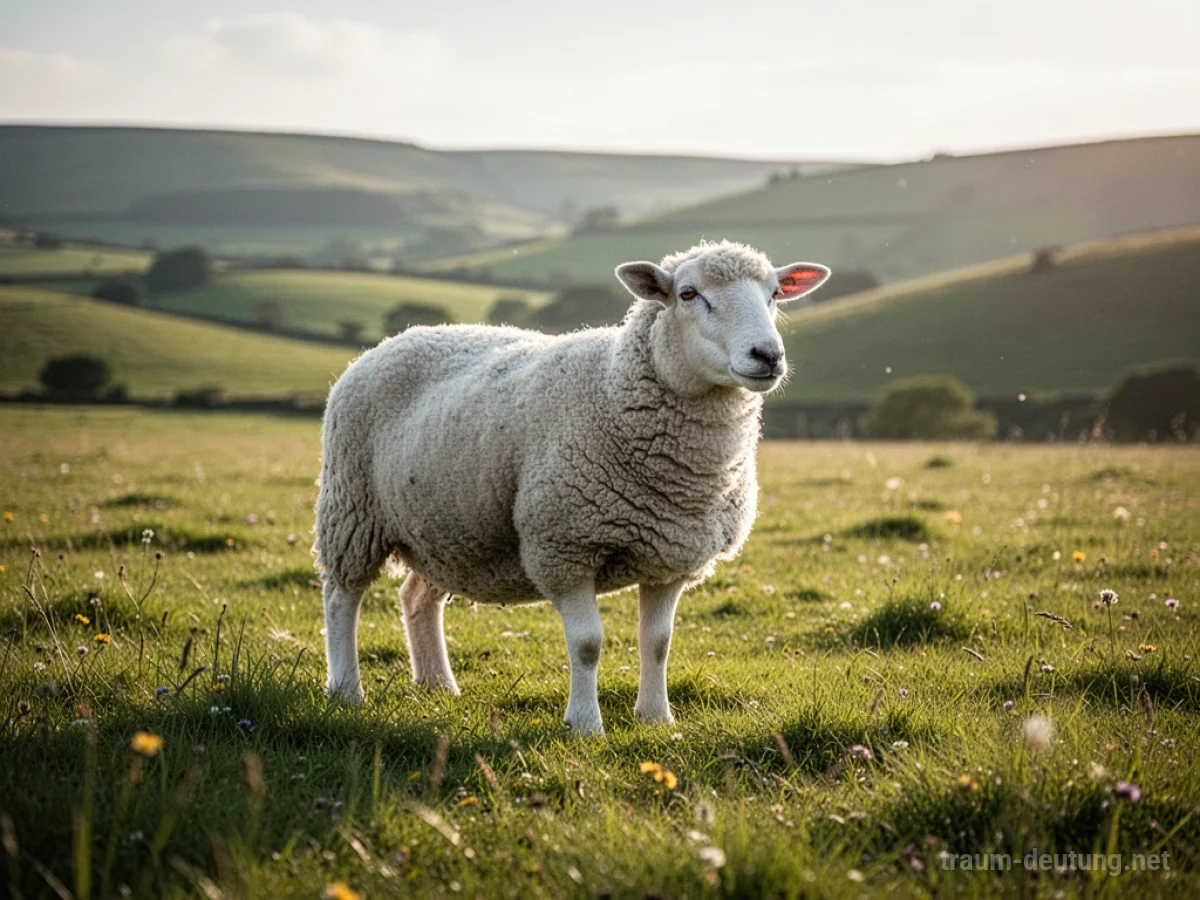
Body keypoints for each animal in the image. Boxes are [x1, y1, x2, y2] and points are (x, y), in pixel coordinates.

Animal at [314, 240, 830, 735]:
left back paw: (439, 686)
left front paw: (656, 719)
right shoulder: (565, 547)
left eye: (774, 294)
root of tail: (397, 338)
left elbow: (658, 643)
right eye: (688, 294)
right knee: (342, 598)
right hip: (352, 509)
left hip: (448, 529)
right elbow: (587, 644)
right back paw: (346, 690)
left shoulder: (670, 556)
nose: (768, 355)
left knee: (417, 597)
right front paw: (584, 725)